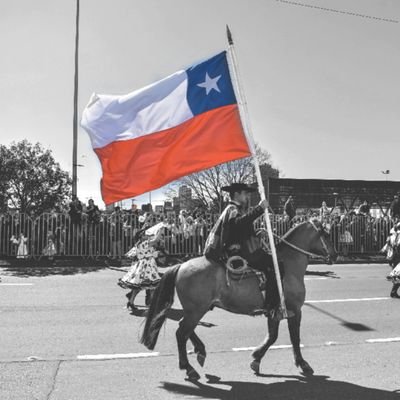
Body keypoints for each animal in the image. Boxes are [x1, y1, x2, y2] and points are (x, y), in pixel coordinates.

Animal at [141, 220, 338, 380]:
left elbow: (272, 336)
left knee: (186, 329)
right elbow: (294, 338)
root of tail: (181, 265)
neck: (286, 265)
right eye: (326, 234)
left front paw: (256, 359)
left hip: (196, 310)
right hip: (196, 310)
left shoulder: (274, 312)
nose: (335, 255)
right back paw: (189, 368)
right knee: (182, 332)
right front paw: (302, 364)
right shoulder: (295, 310)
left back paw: (200, 351)